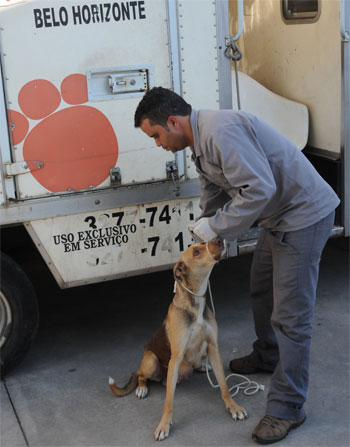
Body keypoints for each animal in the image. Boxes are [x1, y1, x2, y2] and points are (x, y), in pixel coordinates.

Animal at [108, 238, 247, 440]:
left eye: (202, 243)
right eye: (196, 252)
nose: (219, 239)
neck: (195, 304)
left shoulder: (213, 348)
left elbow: (224, 386)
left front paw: (233, 407)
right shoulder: (176, 357)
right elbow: (168, 401)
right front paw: (164, 425)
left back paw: (201, 367)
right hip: (151, 361)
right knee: (140, 374)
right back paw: (141, 388)